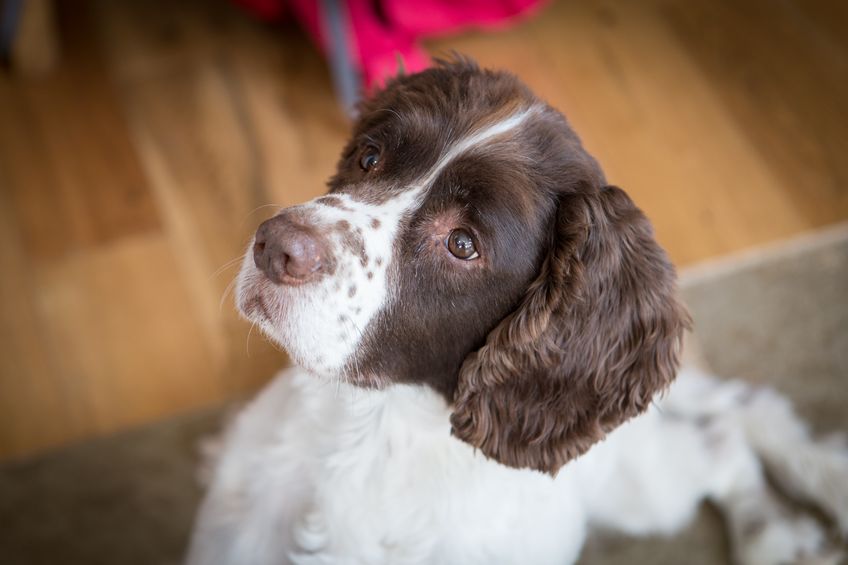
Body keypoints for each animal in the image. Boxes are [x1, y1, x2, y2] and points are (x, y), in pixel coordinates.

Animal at [189, 60, 848, 564]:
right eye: (370, 157)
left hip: (646, 492)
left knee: (730, 434)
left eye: (463, 243)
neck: (375, 438)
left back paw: (778, 534)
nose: (274, 245)